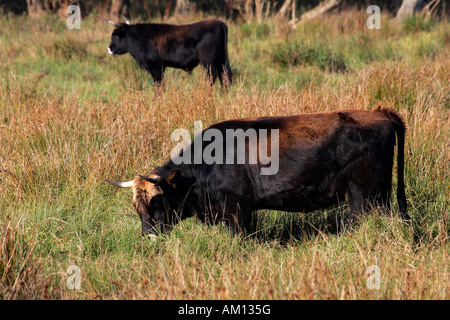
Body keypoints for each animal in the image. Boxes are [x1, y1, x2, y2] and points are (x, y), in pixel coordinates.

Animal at [104, 107, 408, 238]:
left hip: (365, 198)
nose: (148, 236)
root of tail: (381, 113)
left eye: (158, 201)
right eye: (137, 207)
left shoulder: (235, 210)